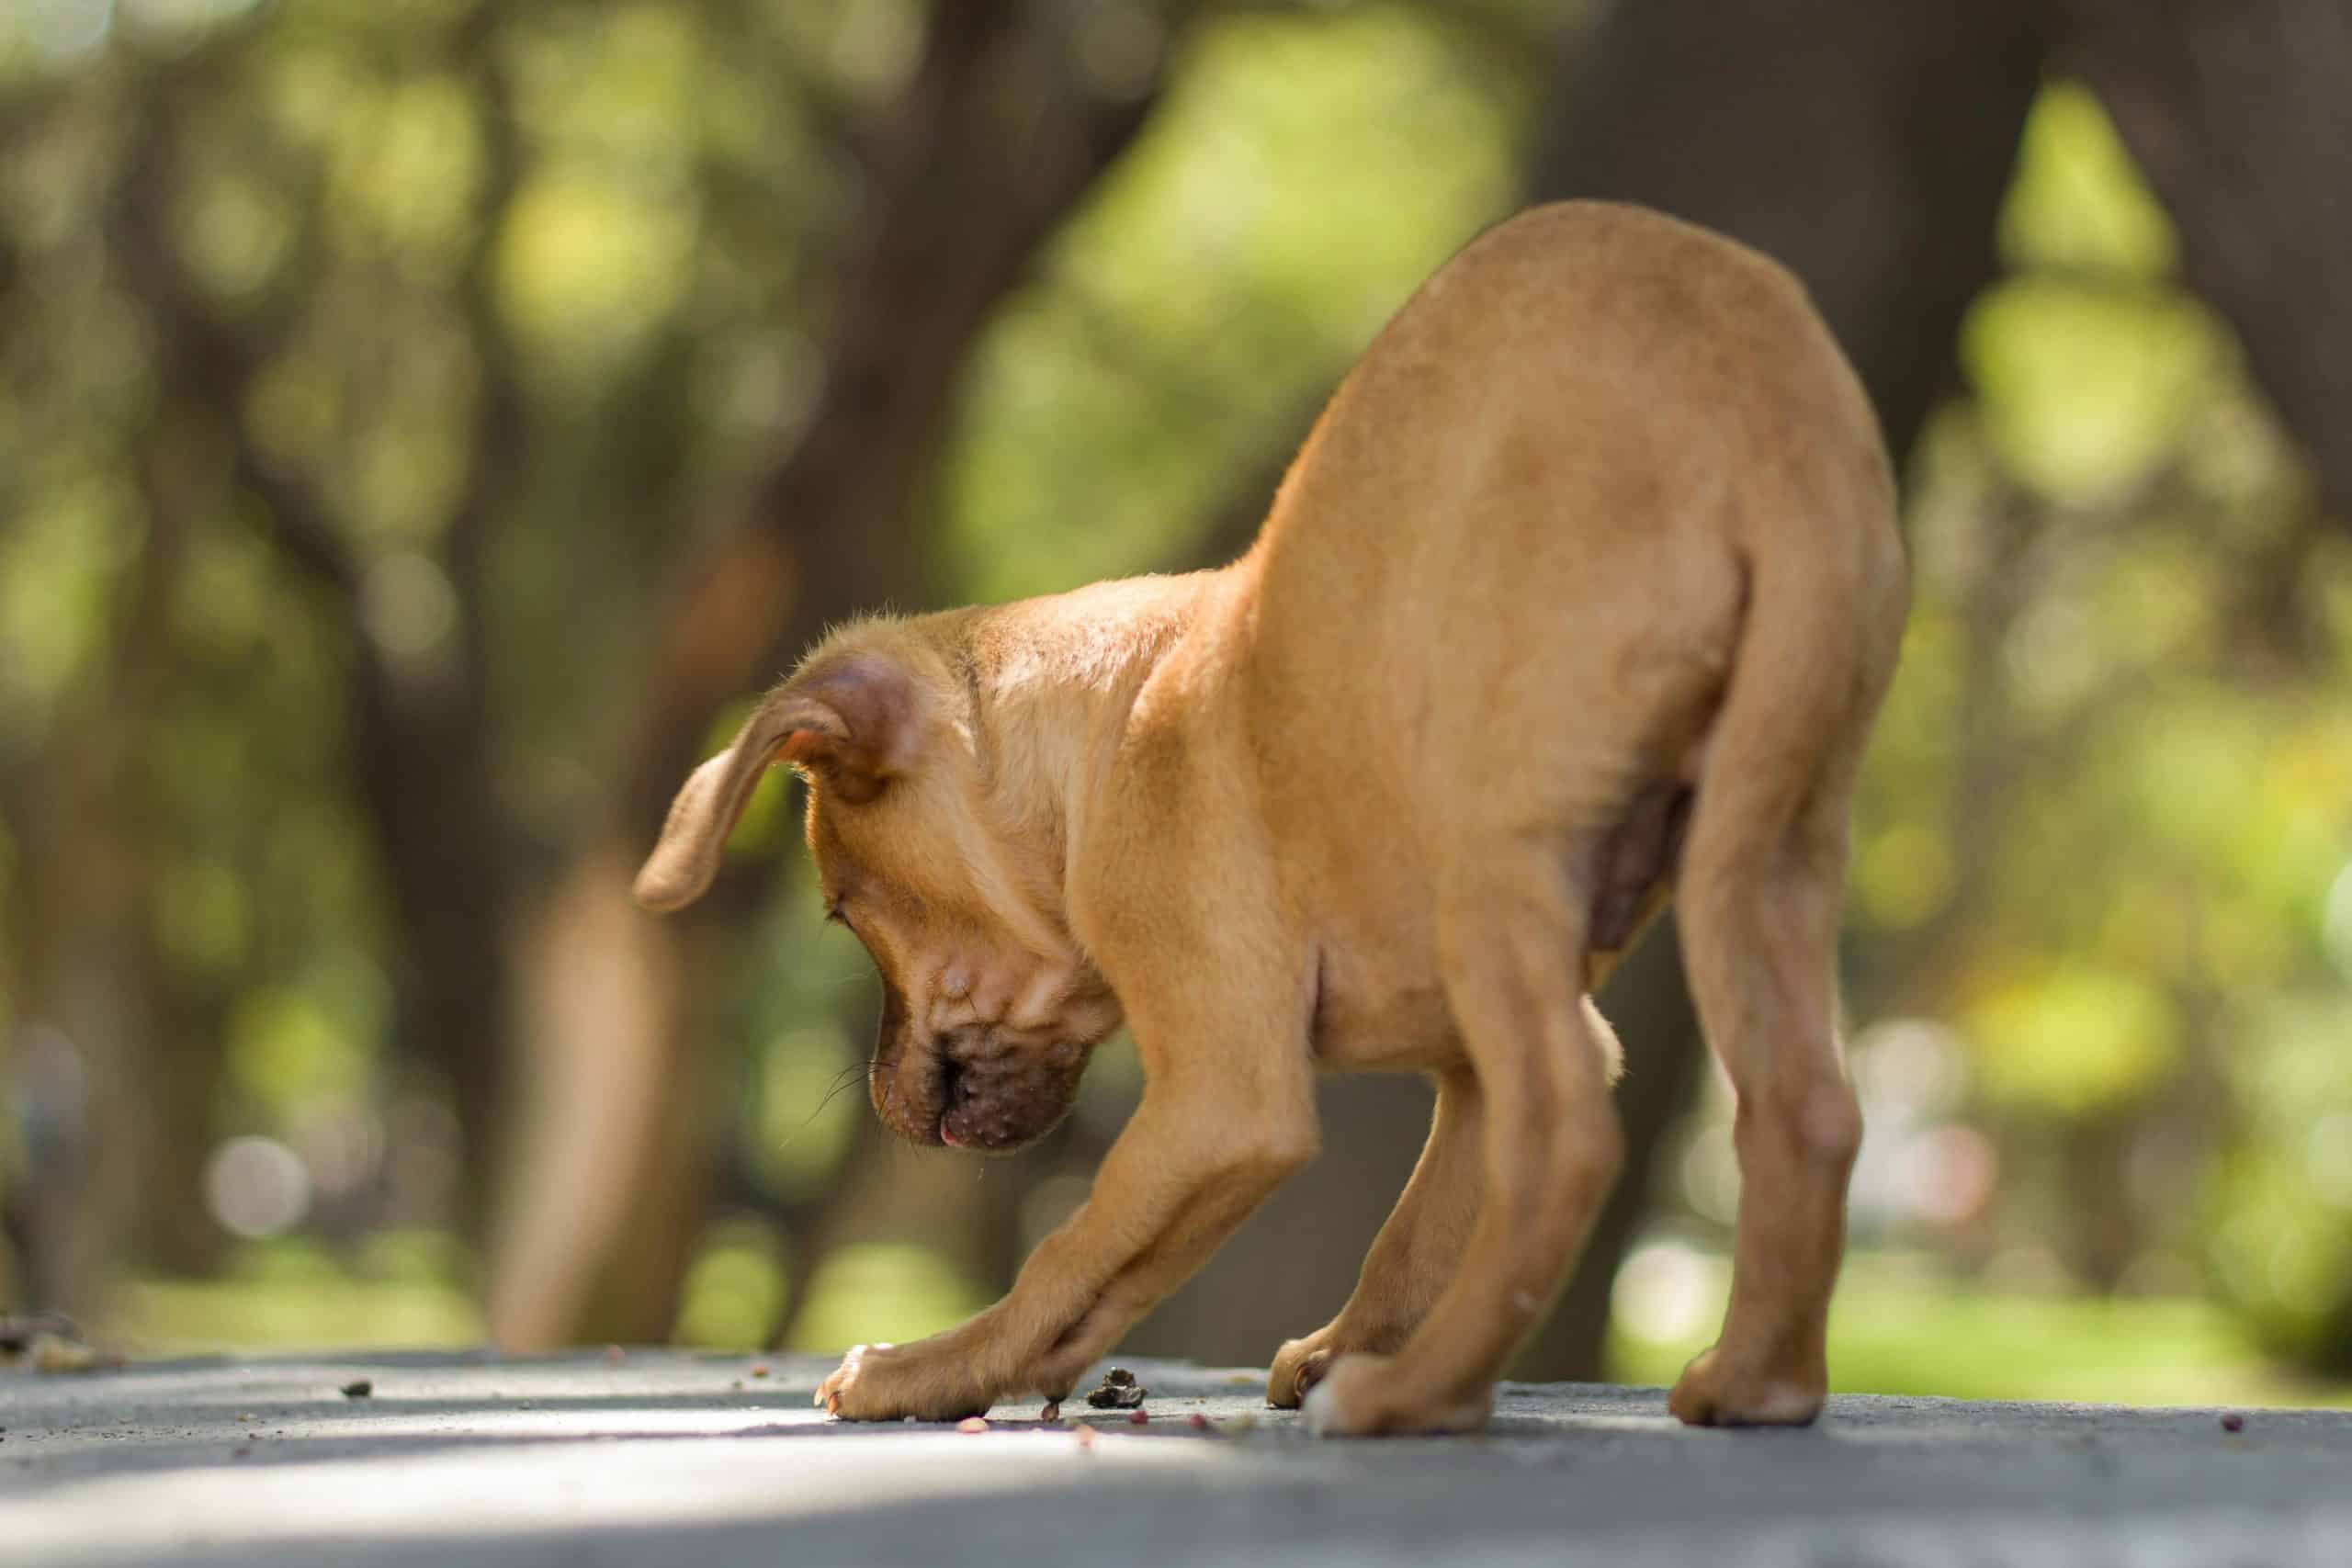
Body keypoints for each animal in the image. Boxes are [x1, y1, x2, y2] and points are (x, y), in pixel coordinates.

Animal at [635, 199, 1900, 1438]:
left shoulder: (1224, 1097)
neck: (1108, 726)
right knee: (1805, 1110)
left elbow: (1069, 1251)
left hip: (1505, 861)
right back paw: (1753, 1384)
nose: (885, 1101)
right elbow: (1389, 1240)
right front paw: (1337, 1346)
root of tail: (1761, 412)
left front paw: (927, 1366)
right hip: (1768, 845)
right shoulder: (1467, 1070)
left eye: (844, 913)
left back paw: (1422, 1398)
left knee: (1568, 1136)